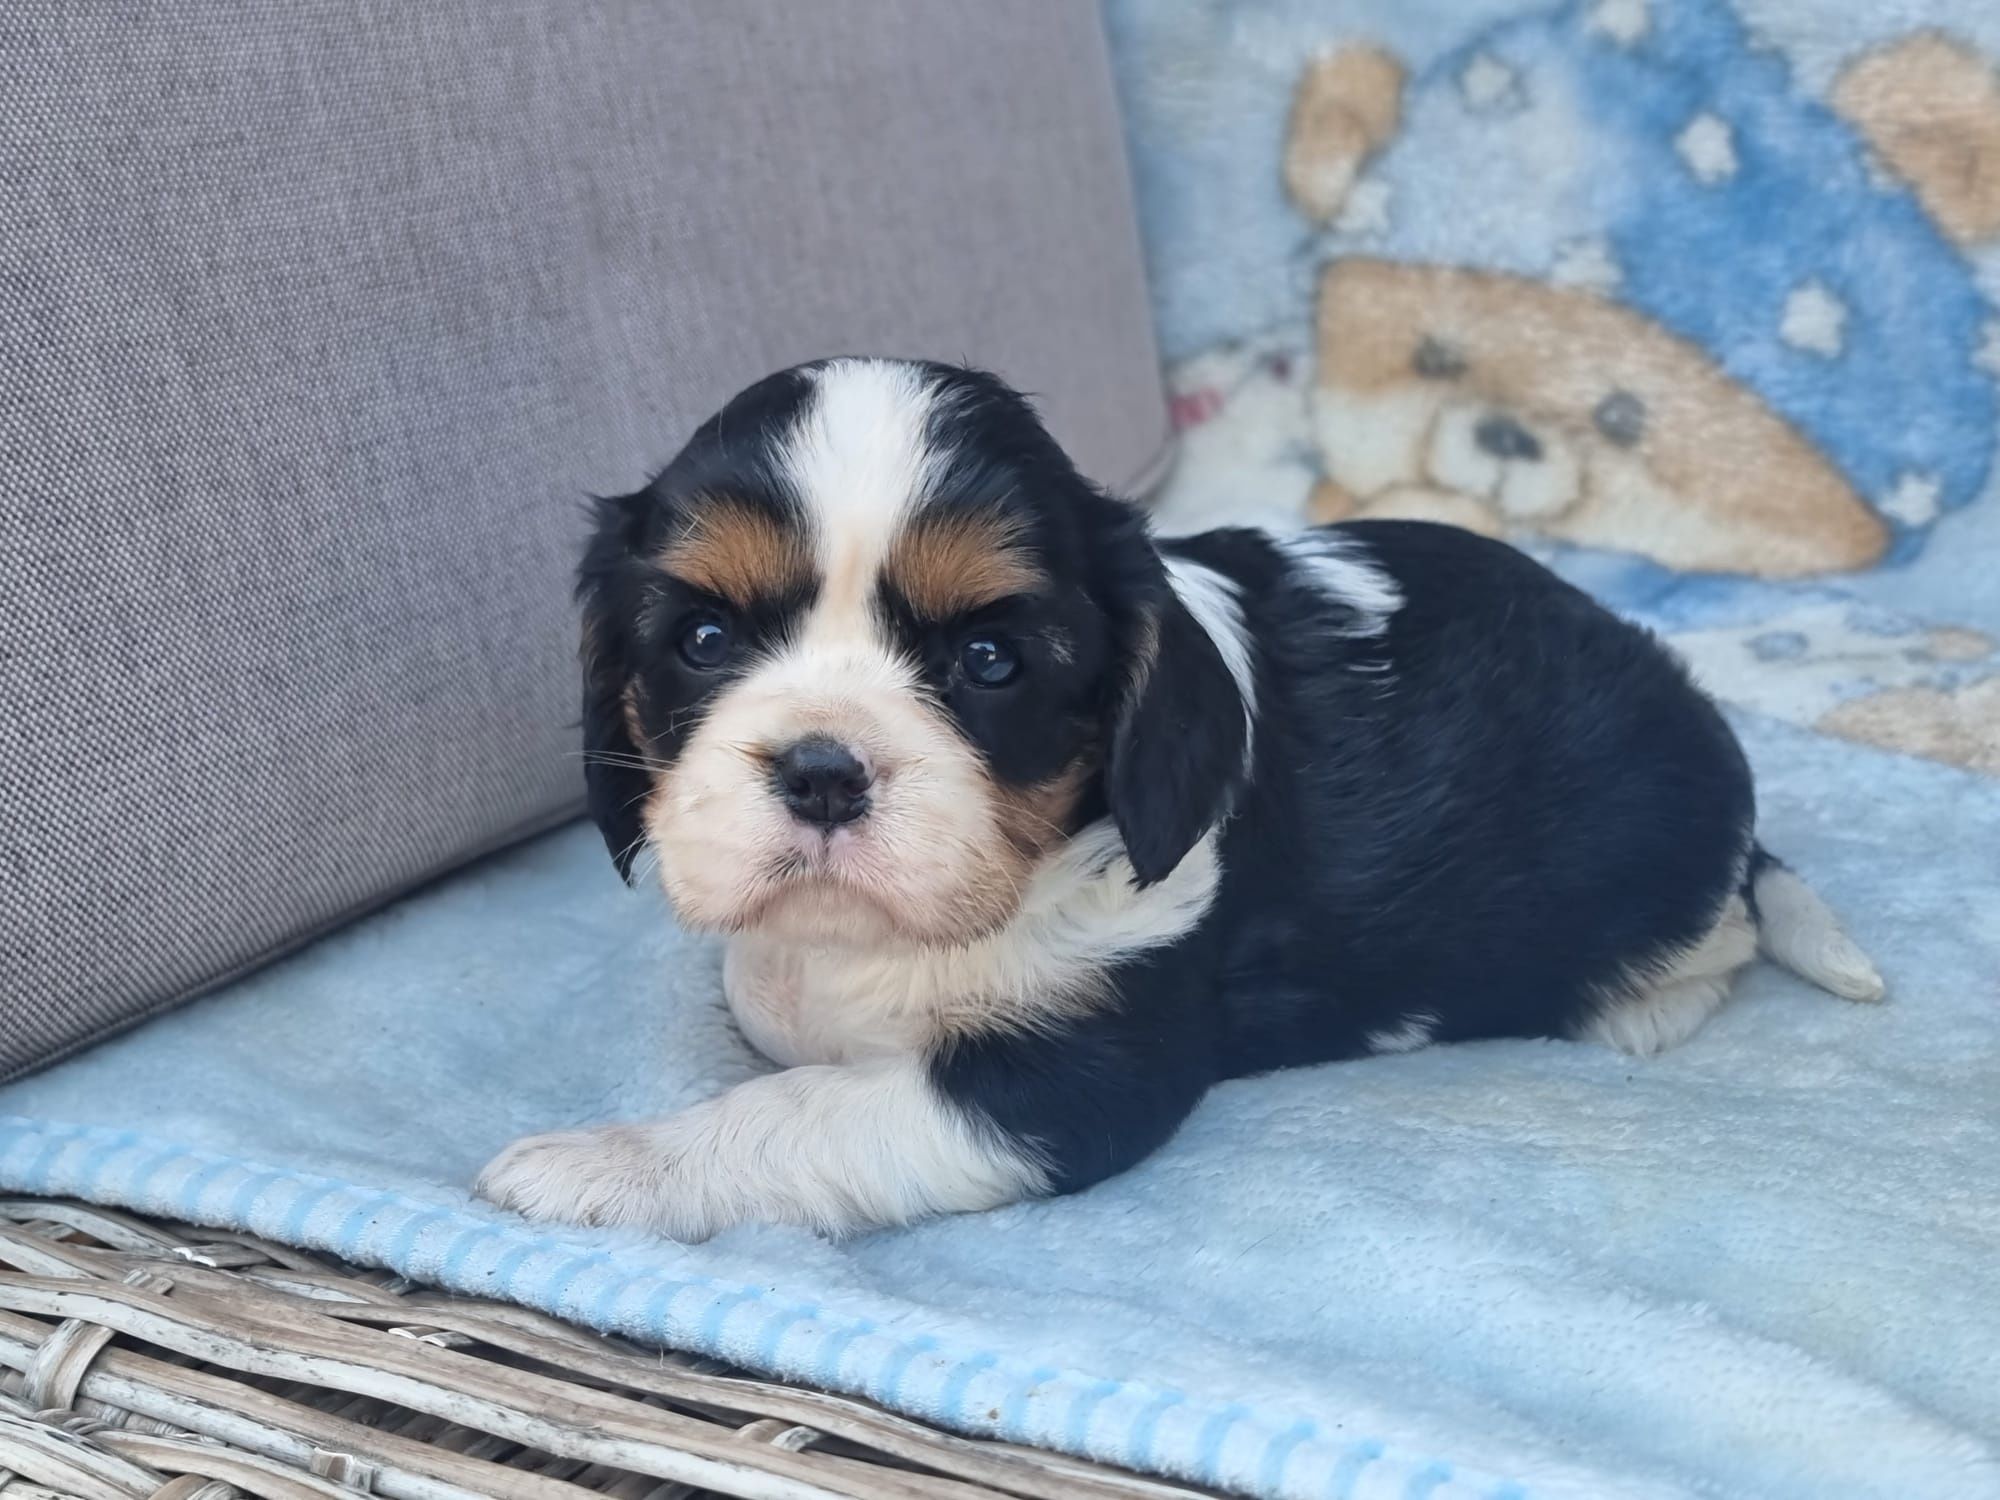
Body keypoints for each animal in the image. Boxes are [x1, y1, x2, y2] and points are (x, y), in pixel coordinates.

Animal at [476, 356, 1880, 1248]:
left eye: (990, 662)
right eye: (704, 639)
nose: (822, 768)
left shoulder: (1073, 1070)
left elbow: (801, 1111)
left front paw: (611, 1164)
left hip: (1642, 862)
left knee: (1719, 931)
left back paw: (1631, 1008)